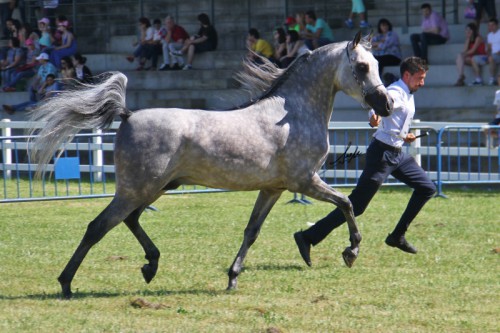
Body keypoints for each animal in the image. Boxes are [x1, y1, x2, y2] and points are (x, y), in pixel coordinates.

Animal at [29, 32, 394, 296]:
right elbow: (347, 203)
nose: (387, 104)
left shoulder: (273, 189)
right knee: (99, 226)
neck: (292, 114)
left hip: (154, 188)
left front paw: (232, 278)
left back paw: (150, 266)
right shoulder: (304, 181)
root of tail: (128, 114)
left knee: (129, 220)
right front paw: (351, 252)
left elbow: (251, 231)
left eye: (376, 64)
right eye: (362, 67)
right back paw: (66, 283)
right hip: (135, 190)